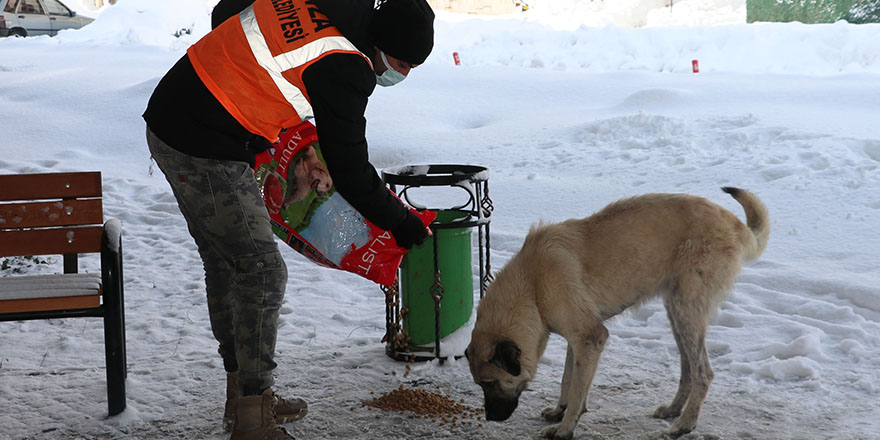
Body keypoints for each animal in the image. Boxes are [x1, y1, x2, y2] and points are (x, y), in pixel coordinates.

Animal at [468, 187, 768, 438]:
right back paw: (674, 410)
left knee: (704, 372)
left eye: (490, 383)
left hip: (687, 313)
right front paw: (560, 410)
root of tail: (735, 224)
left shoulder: (591, 337)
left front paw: (565, 428)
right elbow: (570, 379)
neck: (532, 285)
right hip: (677, 315)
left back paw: (684, 424)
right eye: (480, 385)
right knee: (688, 369)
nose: (491, 418)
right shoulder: (578, 340)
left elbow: (577, 388)